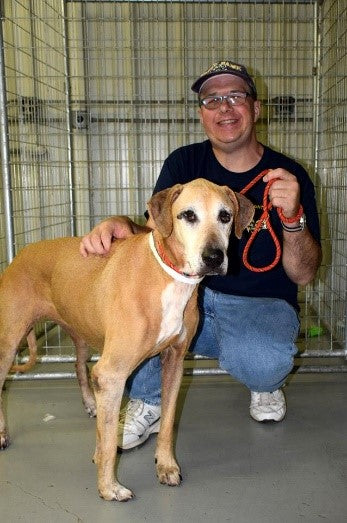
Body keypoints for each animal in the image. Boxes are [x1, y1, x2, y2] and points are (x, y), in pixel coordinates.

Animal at [0, 180, 256, 504]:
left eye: (225, 216)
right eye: (188, 215)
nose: (213, 258)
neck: (167, 276)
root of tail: (22, 252)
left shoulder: (175, 362)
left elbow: (168, 423)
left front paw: (166, 466)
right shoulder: (112, 374)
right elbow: (110, 441)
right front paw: (108, 488)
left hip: (80, 331)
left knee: (79, 367)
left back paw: (90, 403)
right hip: (9, 342)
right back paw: (2, 434)